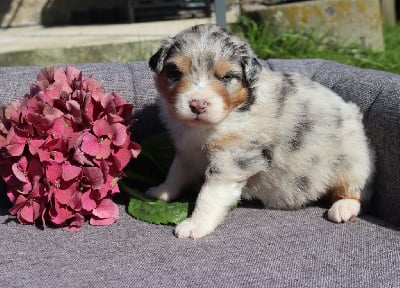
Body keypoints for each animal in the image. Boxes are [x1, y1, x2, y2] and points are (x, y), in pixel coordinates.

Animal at [147, 24, 376, 238]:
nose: (197, 105)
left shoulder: (232, 160)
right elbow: (175, 174)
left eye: (226, 77)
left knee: (357, 195)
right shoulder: (186, 151)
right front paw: (160, 192)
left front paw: (195, 225)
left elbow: (209, 195)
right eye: (175, 73)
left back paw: (342, 208)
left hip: (352, 166)